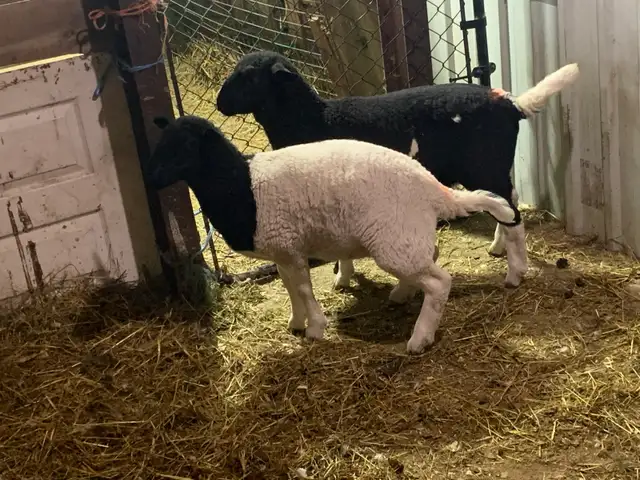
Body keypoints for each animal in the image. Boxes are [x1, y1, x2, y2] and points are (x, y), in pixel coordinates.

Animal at [143, 114, 516, 354]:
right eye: (161, 144)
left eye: (184, 146)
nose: (151, 179)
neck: (244, 187)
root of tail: (435, 190)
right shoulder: (284, 249)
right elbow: (290, 288)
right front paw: (296, 322)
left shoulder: (290, 248)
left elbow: (303, 289)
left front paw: (314, 329)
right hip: (407, 235)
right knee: (431, 262)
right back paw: (402, 294)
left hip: (394, 240)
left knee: (439, 282)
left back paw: (419, 339)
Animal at [215, 50, 580, 289]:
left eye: (249, 76)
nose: (219, 103)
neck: (312, 118)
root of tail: (510, 103)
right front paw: (343, 276)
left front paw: (342, 276)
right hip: (492, 167)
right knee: (506, 203)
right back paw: (498, 247)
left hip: (484, 164)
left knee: (513, 216)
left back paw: (515, 274)